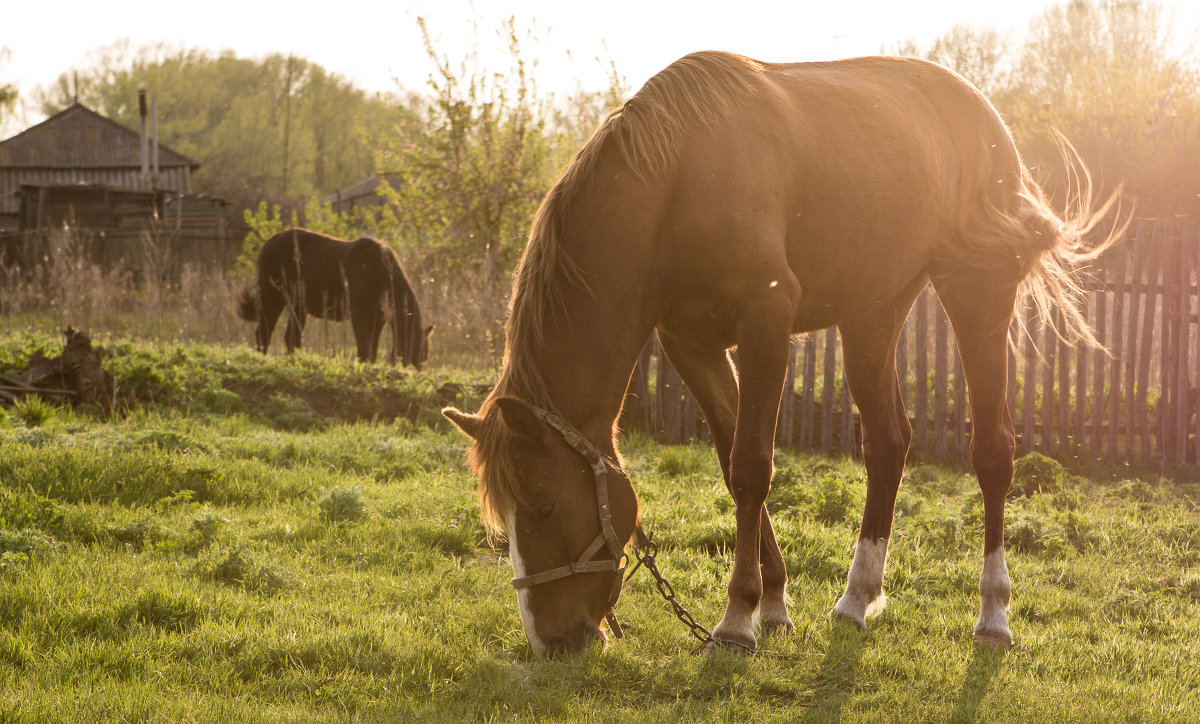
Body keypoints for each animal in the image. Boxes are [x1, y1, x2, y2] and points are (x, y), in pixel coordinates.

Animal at [237, 229, 432, 367]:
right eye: (418, 351)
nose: (416, 367)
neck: (384, 276)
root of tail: (266, 244)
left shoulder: (379, 318)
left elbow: (372, 347)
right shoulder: (358, 311)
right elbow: (363, 345)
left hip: (298, 305)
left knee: (291, 337)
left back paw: (295, 360)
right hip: (273, 296)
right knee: (264, 332)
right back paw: (262, 360)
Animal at [446, 52, 1118, 657]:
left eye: (543, 504)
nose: (551, 640)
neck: (674, 185)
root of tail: (985, 118)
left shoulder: (766, 326)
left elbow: (752, 467)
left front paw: (737, 618)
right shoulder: (693, 345)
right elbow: (732, 466)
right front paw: (771, 602)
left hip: (976, 291)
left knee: (993, 452)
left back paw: (993, 614)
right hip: (873, 311)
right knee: (888, 442)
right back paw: (857, 596)